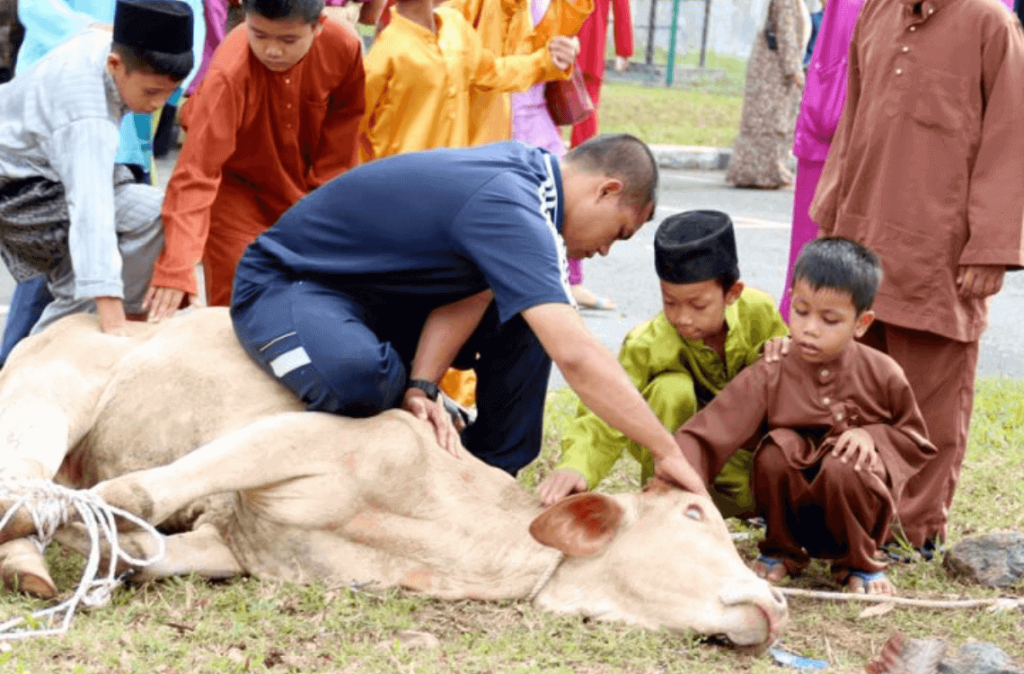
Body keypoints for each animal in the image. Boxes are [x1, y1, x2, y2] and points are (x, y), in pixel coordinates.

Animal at [0, 307, 786, 647]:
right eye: (693, 516)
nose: (778, 600)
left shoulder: (235, 544)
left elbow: (136, 544)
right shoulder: (299, 436)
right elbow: (126, 495)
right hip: (42, 403)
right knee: (26, 481)